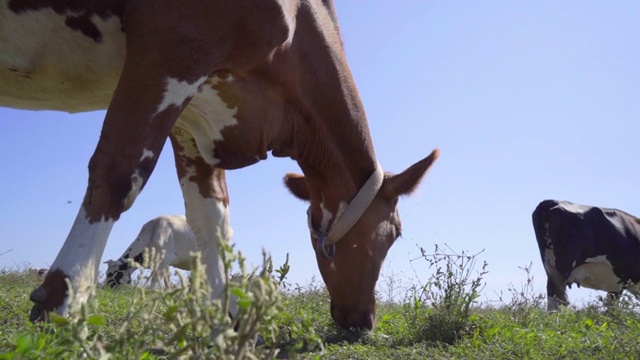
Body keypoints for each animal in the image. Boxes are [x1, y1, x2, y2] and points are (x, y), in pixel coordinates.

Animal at [1, 0, 440, 330]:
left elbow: (212, 216)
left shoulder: (196, 113)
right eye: (394, 235)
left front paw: (222, 312)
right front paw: (64, 295)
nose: (364, 321)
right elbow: (119, 168)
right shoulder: (173, 46)